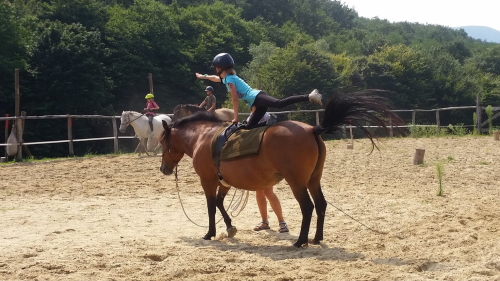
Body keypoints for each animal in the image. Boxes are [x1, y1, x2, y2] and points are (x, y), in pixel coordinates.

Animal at [160, 91, 402, 246]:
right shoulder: (224, 182)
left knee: (308, 207)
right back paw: (316, 238)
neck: (203, 137)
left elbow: (211, 206)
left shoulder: (208, 180)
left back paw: (301, 241)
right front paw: (229, 228)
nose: (163, 169)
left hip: (297, 182)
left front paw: (210, 233)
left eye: (163, 142)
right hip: (313, 180)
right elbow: (220, 204)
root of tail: (312, 129)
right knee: (321, 205)